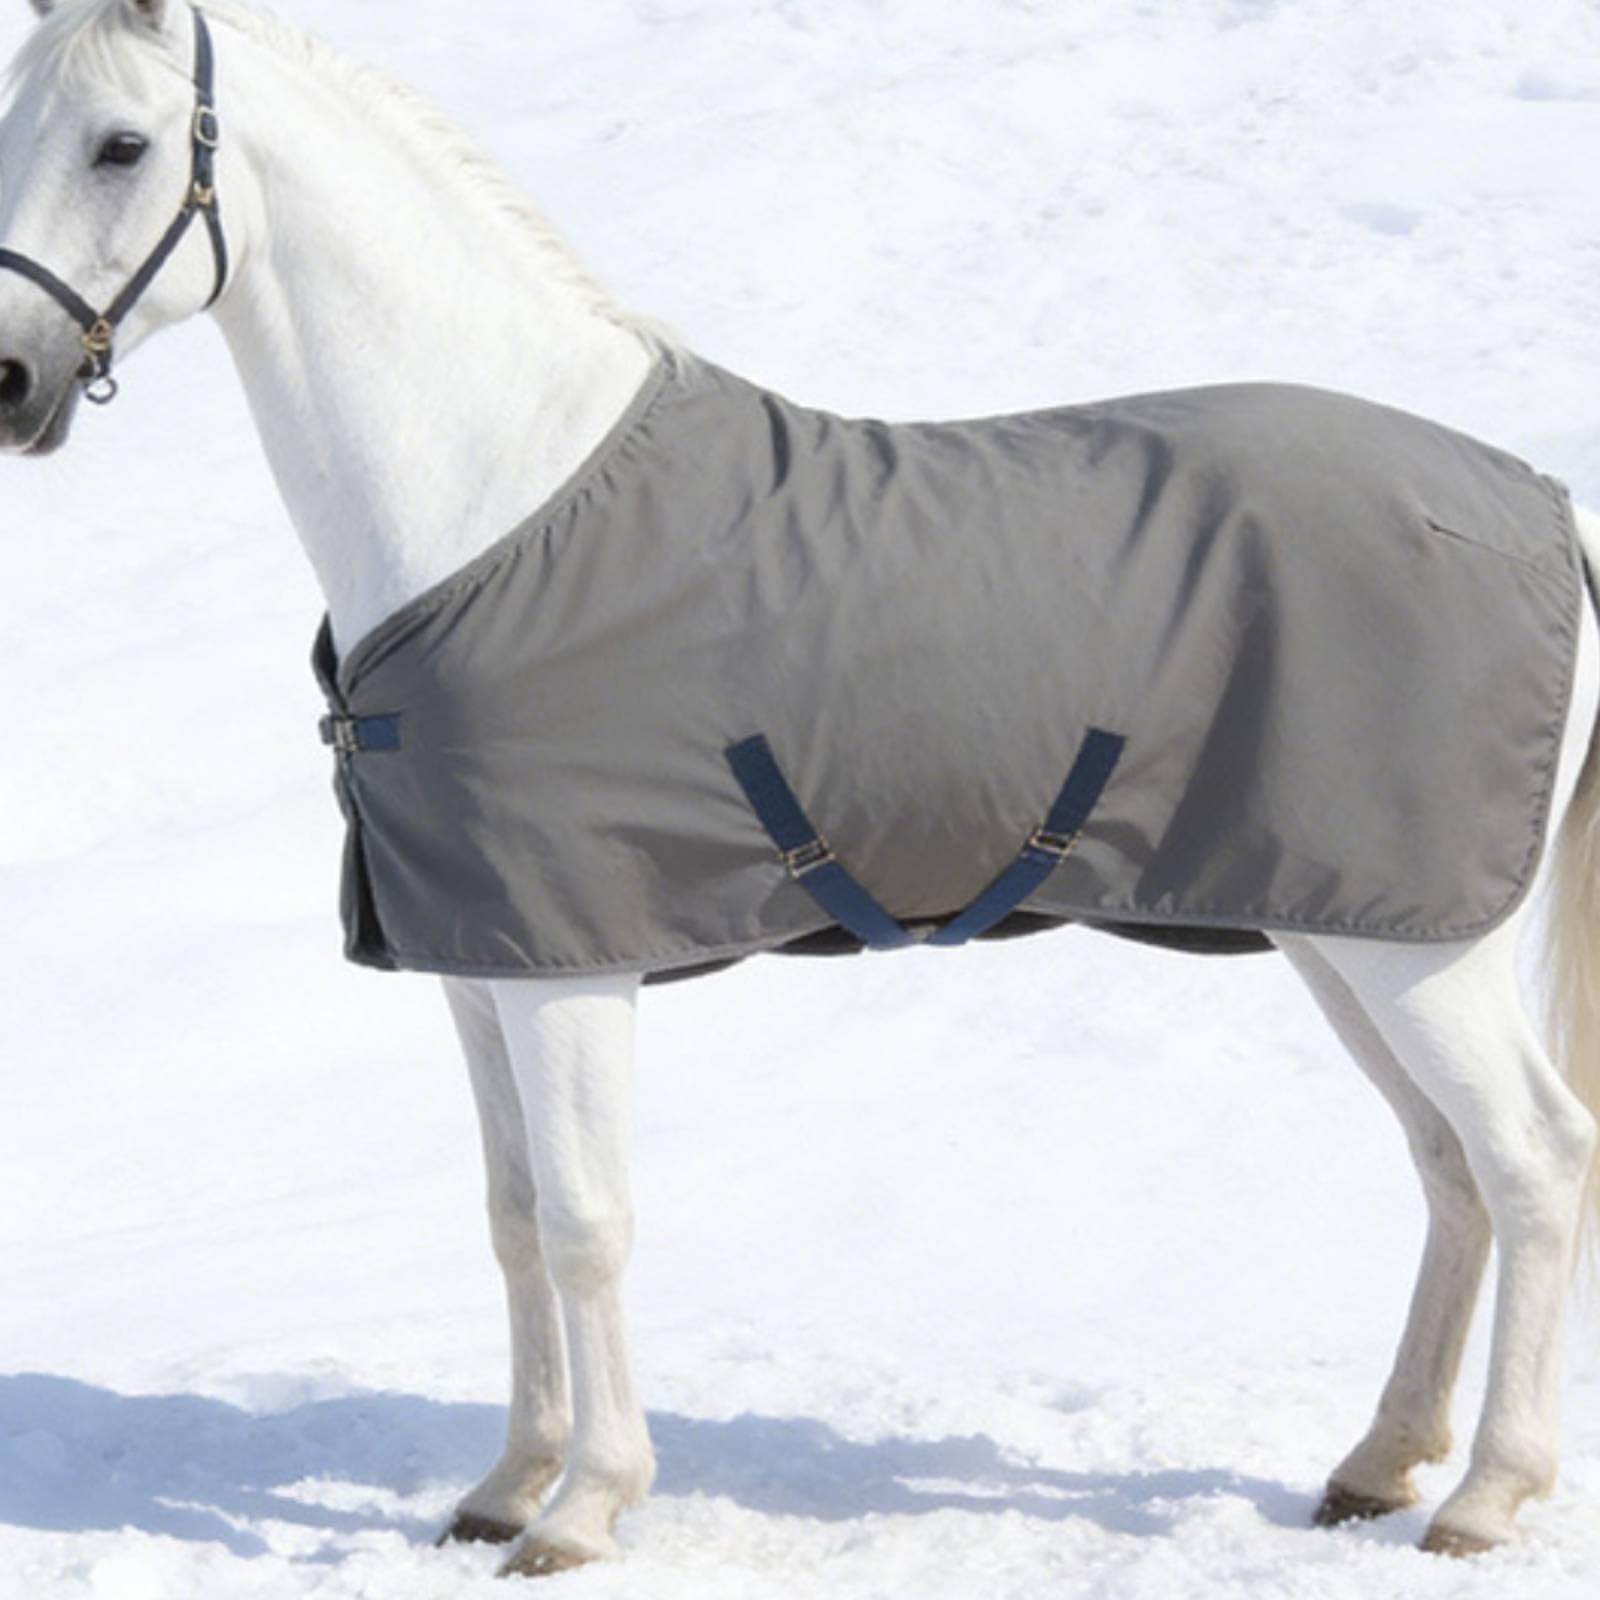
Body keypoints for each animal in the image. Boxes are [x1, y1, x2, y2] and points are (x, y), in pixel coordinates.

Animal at [2, 0, 1599, 1579]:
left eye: (122, 144)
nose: (10, 382)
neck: (494, 502)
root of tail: (1539, 504)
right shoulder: (475, 961)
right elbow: (512, 1218)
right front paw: (504, 1487)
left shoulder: (571, 968)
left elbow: (585, 1222)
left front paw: (583, 1506)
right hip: (1339, 925)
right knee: (1447, 1165)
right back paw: (1378, 1464)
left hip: (1421, 945)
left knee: (1532, 1158)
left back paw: (1484, 1495)